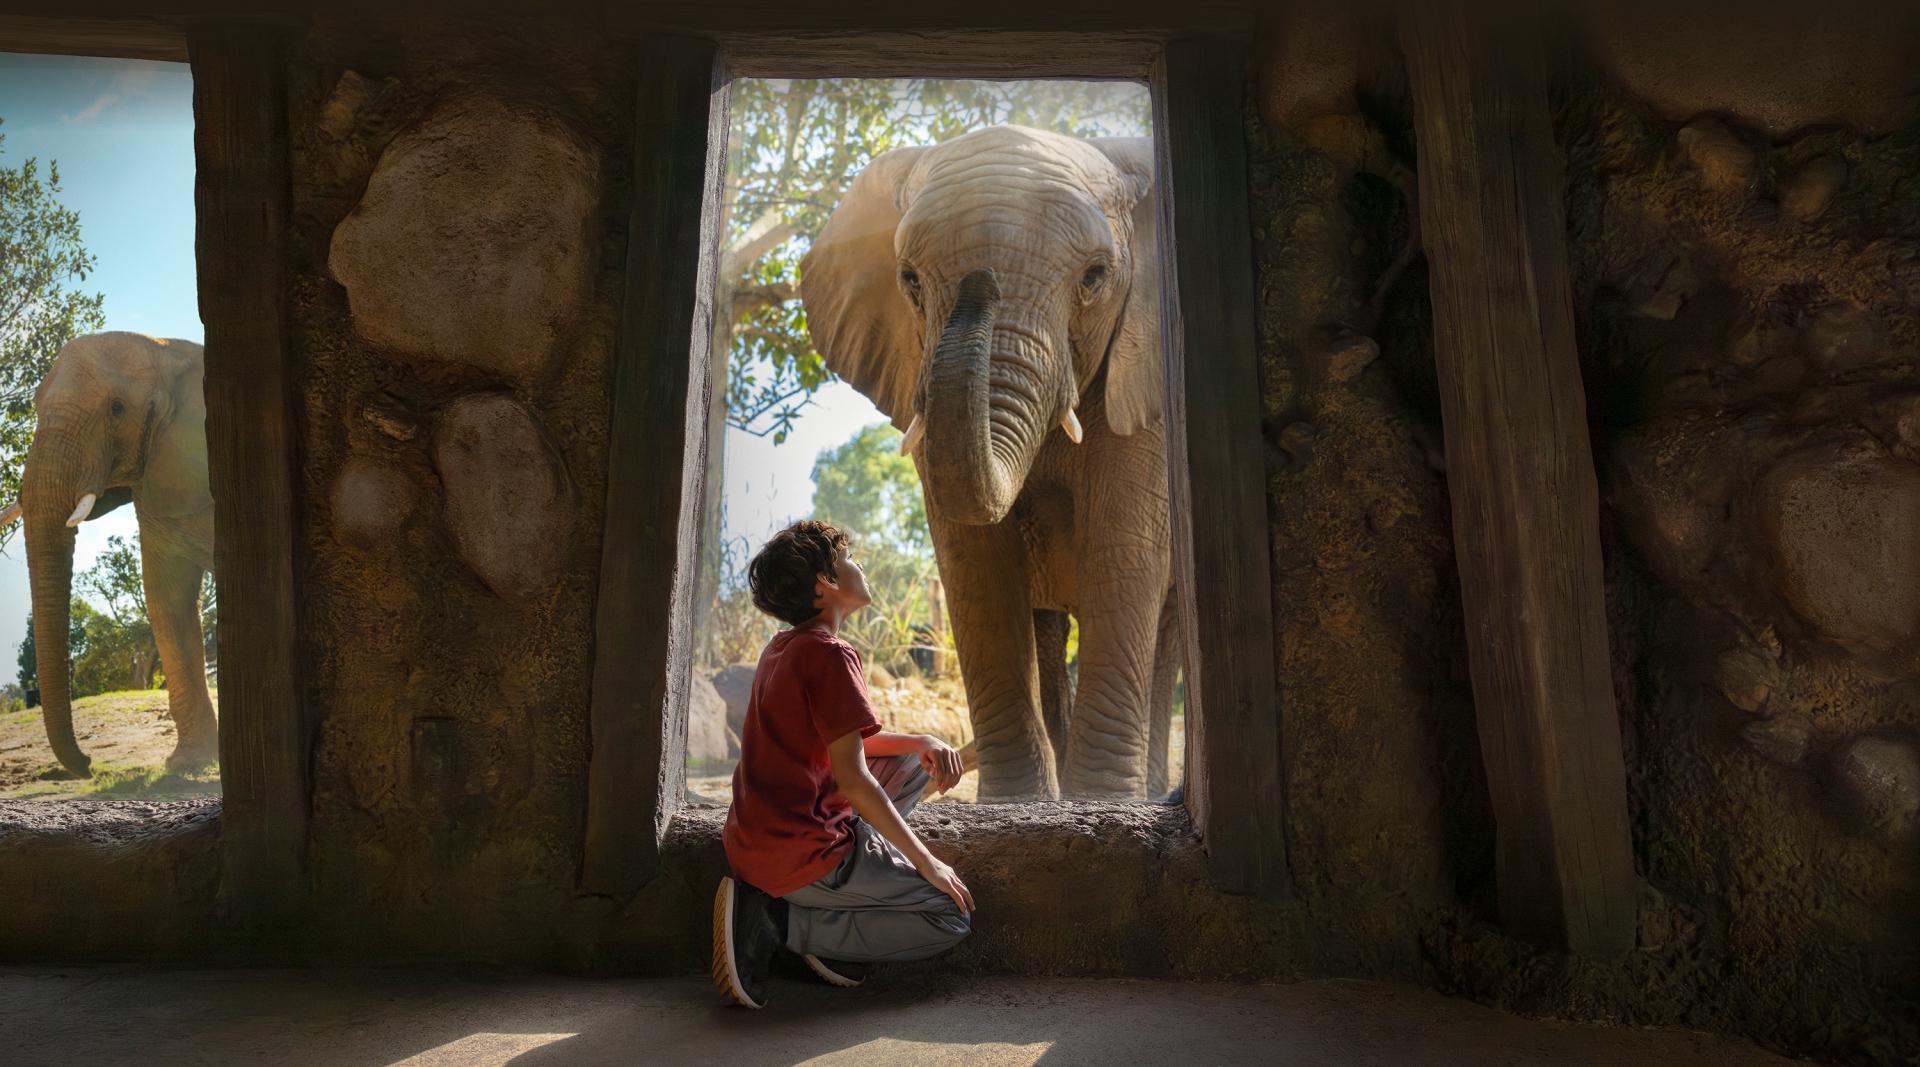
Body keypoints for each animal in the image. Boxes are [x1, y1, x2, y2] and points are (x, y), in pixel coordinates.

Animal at [800, 125, 1179, 801]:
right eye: (910, 281)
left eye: (1094, 277)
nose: (982, 283)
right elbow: (974, 561)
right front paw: (1018, 805)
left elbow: (1122, 551)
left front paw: (1103, 804)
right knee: (1048, 627)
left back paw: (1149, 793)